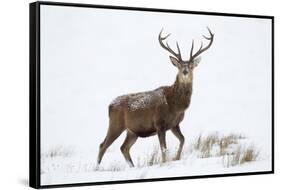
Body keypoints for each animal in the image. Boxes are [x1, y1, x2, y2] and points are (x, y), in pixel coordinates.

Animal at [97, 27, 213, 167]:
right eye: (179, 66)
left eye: (191, 66)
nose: (185, 72)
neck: (175, 106)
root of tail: (109, 105)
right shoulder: (159, 123)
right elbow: (164, 148)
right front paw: (165, 163)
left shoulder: (174, 124)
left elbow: (183, 139)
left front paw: (176, 158)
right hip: (115, 124)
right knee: (103, 145)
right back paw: (96, 168)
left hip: (132, 131)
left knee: (124, 147)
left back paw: (132, 167)